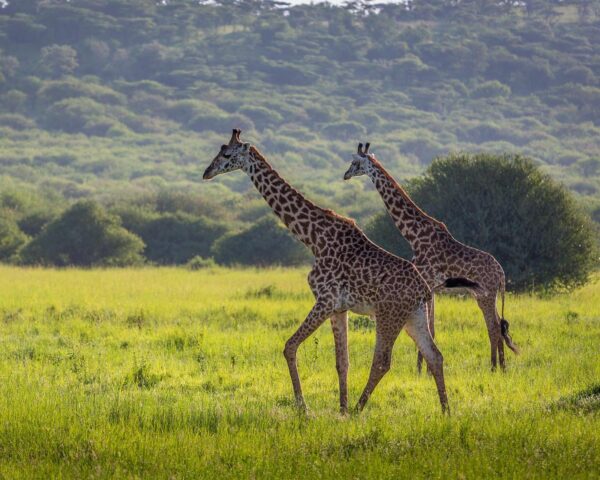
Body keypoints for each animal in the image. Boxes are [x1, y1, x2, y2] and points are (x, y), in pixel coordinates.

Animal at [205, 129, 468, 414]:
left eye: (227, 154)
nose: (206, 172)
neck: (313, 238)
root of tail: (424, 290)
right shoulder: (339, 308)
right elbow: (342, 362)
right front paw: (340, 409)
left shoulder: (325, 299)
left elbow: (289, 346)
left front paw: (304, 408)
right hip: (414, 317)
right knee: (435, 356)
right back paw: (445, 410)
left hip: (388, 315)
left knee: (383, 361)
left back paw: (359, 409)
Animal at [344, 142, 516, 372]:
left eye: (355, 162)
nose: (345, 175)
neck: (413, 235)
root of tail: (502, 273)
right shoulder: (431, 288)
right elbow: (431, 329)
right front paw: (423, 370)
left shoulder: (427, 281)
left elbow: (428, 330)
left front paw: (419, 370)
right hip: (487, 295)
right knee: (500, 325)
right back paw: (503, 368)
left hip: (486, 295)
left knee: (494, 327)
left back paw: (494, 368)